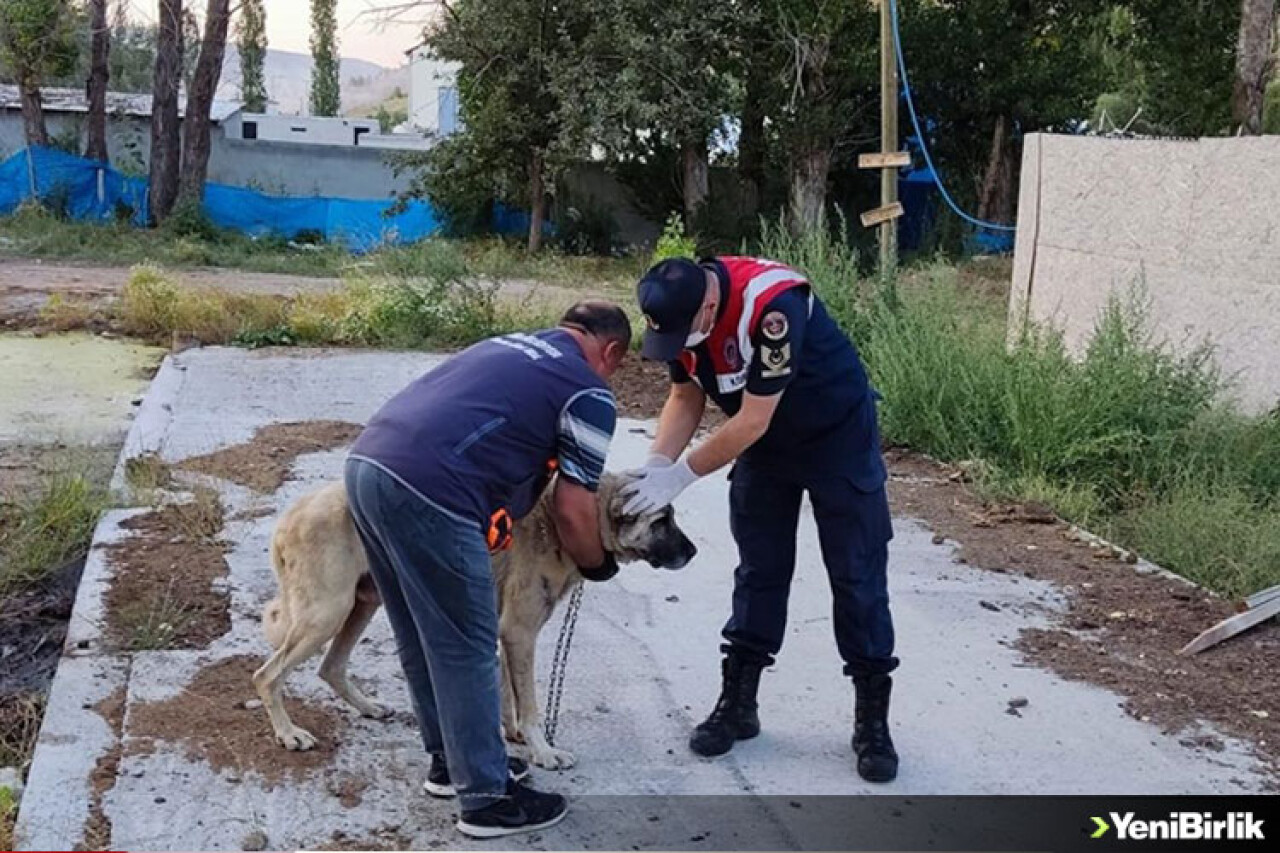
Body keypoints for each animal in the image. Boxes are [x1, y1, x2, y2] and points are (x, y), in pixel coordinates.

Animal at [247, 473, 691, 768]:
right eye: (661, 520)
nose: (693, 552)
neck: (558, 522)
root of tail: (289, 517)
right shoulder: (520, 632)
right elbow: (530, 703)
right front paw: (543, 751)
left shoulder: (506, 634)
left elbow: (510, 692)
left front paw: (513, 733)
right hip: (327, 613)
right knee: (266, 676)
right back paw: (289, 734)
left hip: (361, 603)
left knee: (331, 666)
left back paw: (368, 707)